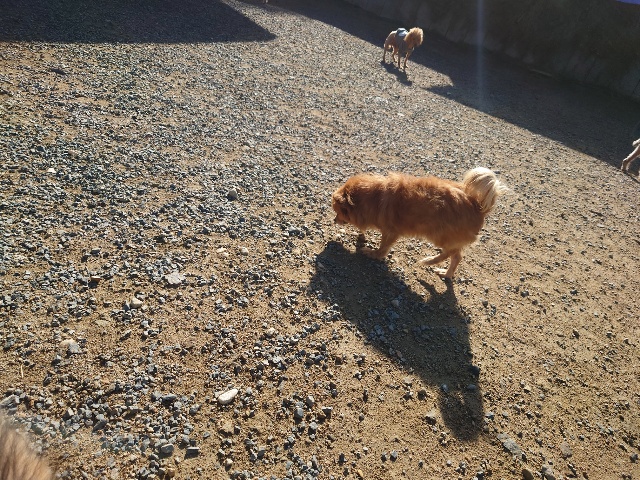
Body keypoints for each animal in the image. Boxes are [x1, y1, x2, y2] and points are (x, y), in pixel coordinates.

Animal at [332, 167, 508, 278]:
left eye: (338, 213)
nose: (334, 220)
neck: (374, 198)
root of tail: (478, 207)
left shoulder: (391, 232)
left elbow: (382, 248)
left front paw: (372, 253)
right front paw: (361, 237)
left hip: (439, 236)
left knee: (452, 254)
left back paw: (429, 261)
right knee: (457, 257)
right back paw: (446, 274)